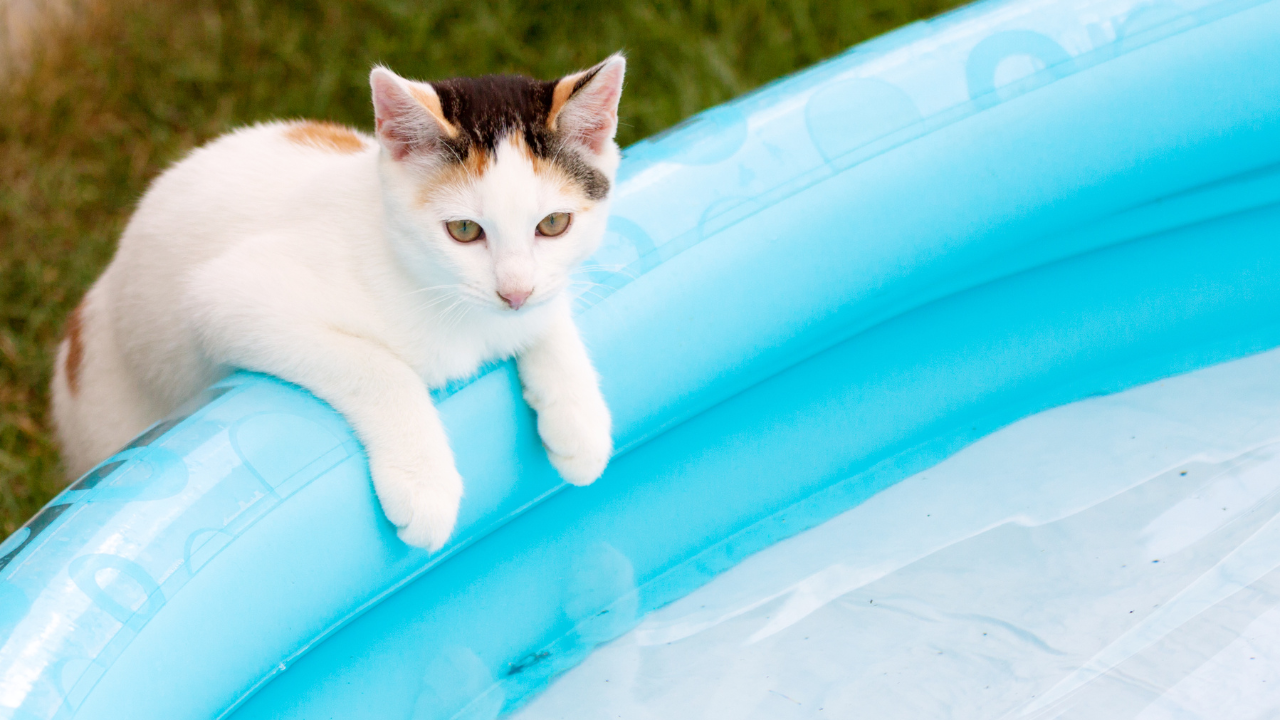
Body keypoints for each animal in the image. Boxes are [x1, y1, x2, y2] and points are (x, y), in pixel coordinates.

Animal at [52, 56, 622, 548]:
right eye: (464, 231)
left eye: (554, 224)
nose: (514, 292)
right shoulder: (225, 295)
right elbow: (380, 367)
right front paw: (424, 481)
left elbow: (549, 315)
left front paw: (579, 421)